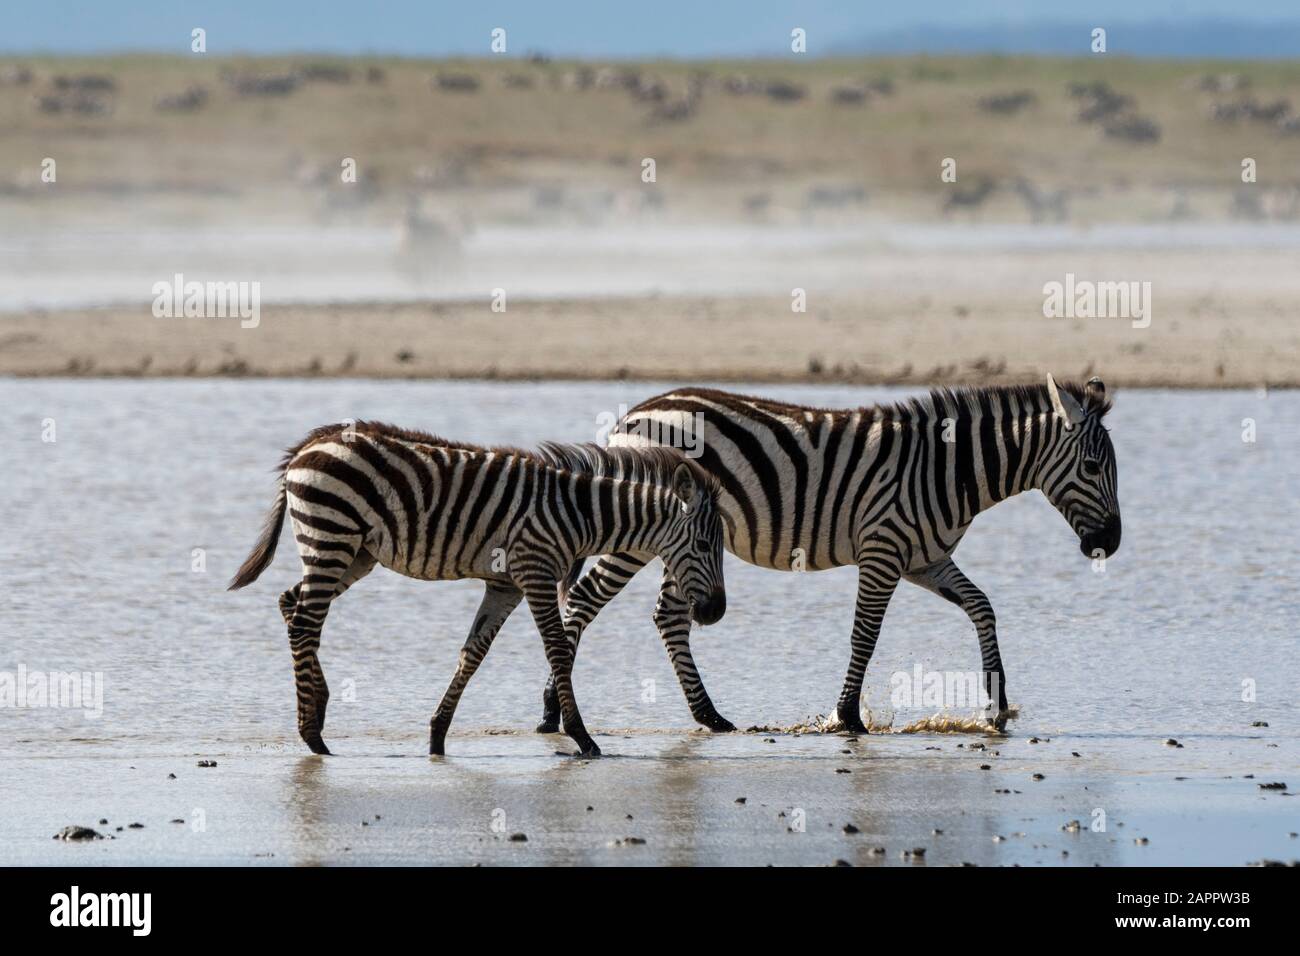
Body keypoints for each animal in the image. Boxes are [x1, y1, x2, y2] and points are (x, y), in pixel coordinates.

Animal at [227, 421, 728, 759]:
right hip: (332, 537)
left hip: (354, 554)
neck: (579, 515)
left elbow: (473, 652)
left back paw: (319, 708)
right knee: (305, 621)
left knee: (291, 605)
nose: (716, 613)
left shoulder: (505, 585)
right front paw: (582, 737)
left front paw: (437, 735)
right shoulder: (535, 571)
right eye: (705, 546)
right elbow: (557, 648)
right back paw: (312, 735)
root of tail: (309, 444)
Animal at [538, 374, 1118, 733]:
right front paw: (847, 716)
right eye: (1093, 469)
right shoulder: (883, 550)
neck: (947, 470)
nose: (1109, 544)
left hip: (679, 543)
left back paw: (710, 717)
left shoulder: (924, 559)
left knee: (667, 616)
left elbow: (983, 607)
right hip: (641, 534)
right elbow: (865, 634)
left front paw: (996, 707)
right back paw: (552, 710)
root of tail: (632, 415)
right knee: (586, 601)